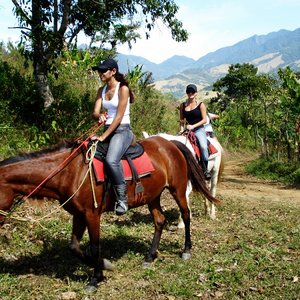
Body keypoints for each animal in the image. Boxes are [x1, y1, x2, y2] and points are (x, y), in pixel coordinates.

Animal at [0, 136, 220, 290]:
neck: (69, 172)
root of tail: (170, 144)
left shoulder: (92, 214)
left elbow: (95, 246)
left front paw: (96, 277)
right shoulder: (78, 215)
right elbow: (74, 247)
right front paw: (105, 265)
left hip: (178, 189)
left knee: (186, 215)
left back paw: (186, 250)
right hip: (153, 196)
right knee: (159, 220)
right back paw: (150, 256)